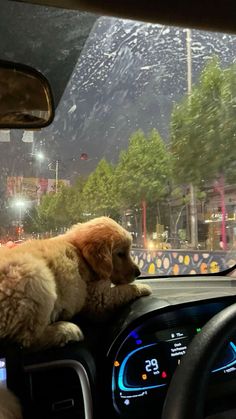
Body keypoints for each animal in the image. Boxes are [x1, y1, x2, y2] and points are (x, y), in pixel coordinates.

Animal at [0, 217, 151, 348]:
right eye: (120, 254)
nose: (138, 273)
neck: (81, 254)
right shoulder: (98, 300)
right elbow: (123, 290)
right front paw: (144, 287)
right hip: (36, 277)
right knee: (28, 339)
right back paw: (67, 330)